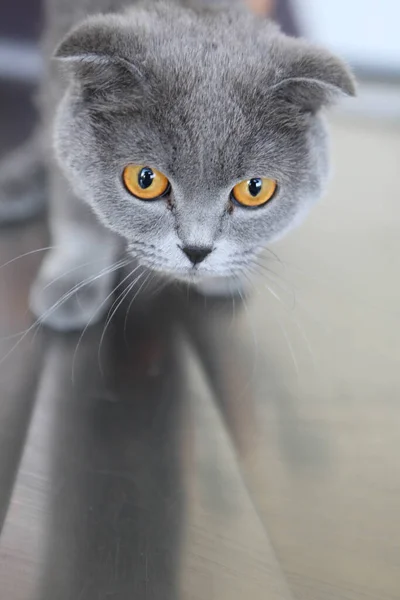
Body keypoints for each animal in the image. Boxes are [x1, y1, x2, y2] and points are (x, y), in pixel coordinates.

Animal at [0, 0, 354, 330]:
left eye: (254, 189)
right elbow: (79, 216)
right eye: (145, 180)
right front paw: (72, 282)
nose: (197, 251)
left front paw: (225, 274)